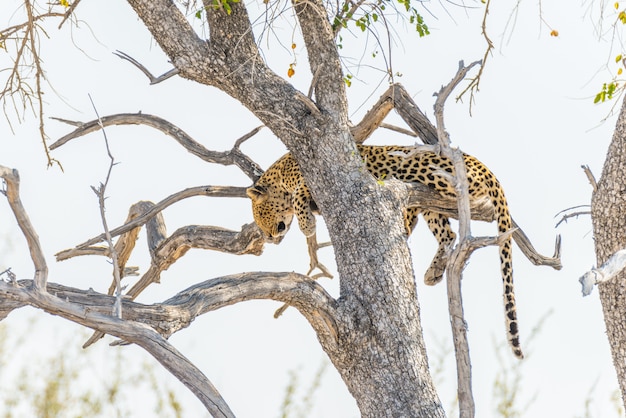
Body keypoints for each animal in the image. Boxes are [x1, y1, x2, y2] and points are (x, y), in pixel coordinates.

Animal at [245, 145, 520, 360]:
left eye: (259, 215)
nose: (269, 238)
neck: (282, 172)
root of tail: (481, 164)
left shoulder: (310, 180)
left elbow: (300, 193)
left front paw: (306, 223)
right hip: (432, 208)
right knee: (447, 234)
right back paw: (433, 271)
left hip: (419, 168)